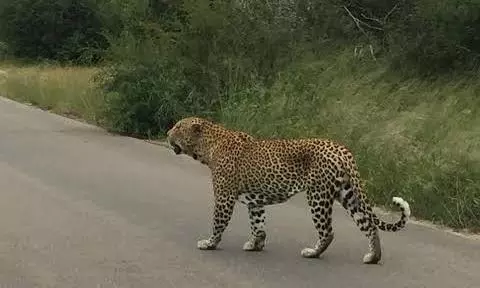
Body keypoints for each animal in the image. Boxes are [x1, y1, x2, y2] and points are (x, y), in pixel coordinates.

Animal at [167, 116, 410, 264]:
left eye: (178, 127)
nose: (168, 132)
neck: (207, 147)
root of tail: (341, 148)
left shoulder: (224, 197)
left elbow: (218, 223)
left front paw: (209, 243)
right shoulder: (256, 201)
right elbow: (258, 225)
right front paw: (256, 245)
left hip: (318, 195)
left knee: (328, 231)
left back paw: (313, 252)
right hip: (348, 194)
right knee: (369, 225)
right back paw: (373, 256)